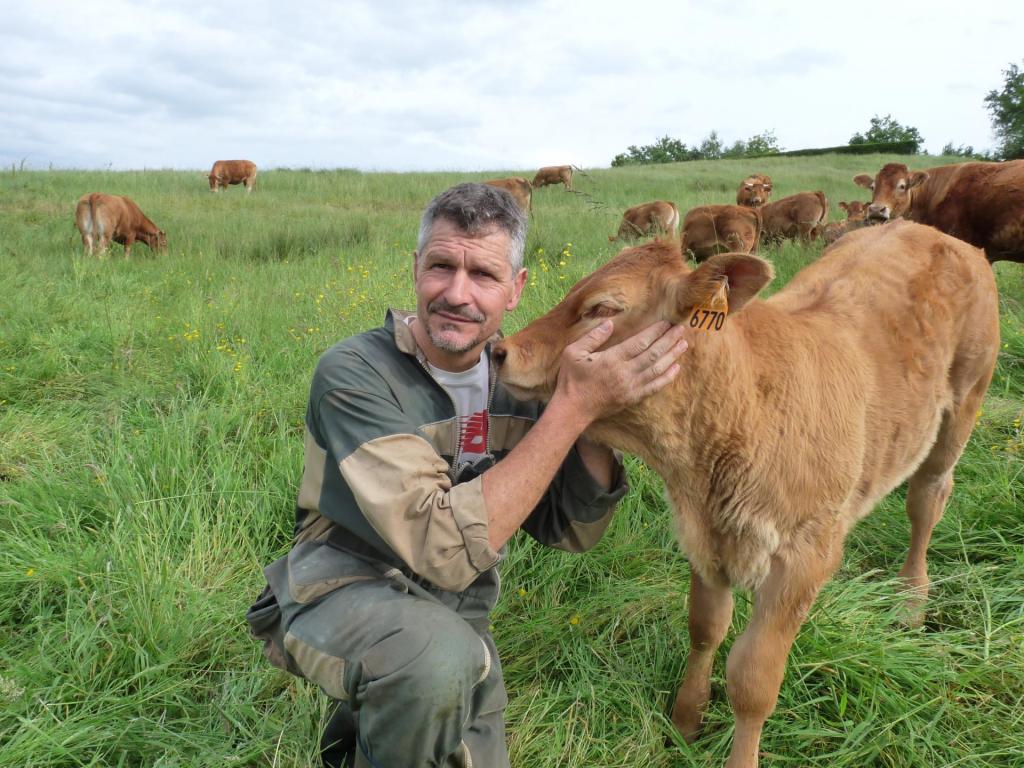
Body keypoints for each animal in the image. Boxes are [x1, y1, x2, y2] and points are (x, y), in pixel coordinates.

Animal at [493, 219, 999, 765]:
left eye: (603, 309)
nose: (500, 351)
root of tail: (932, 232)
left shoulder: (802, 561)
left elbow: (753, 683)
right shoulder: (705, 541)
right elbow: (705, 629)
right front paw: (685, 720)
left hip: (961, 410)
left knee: (926, 500)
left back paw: (910, 601)